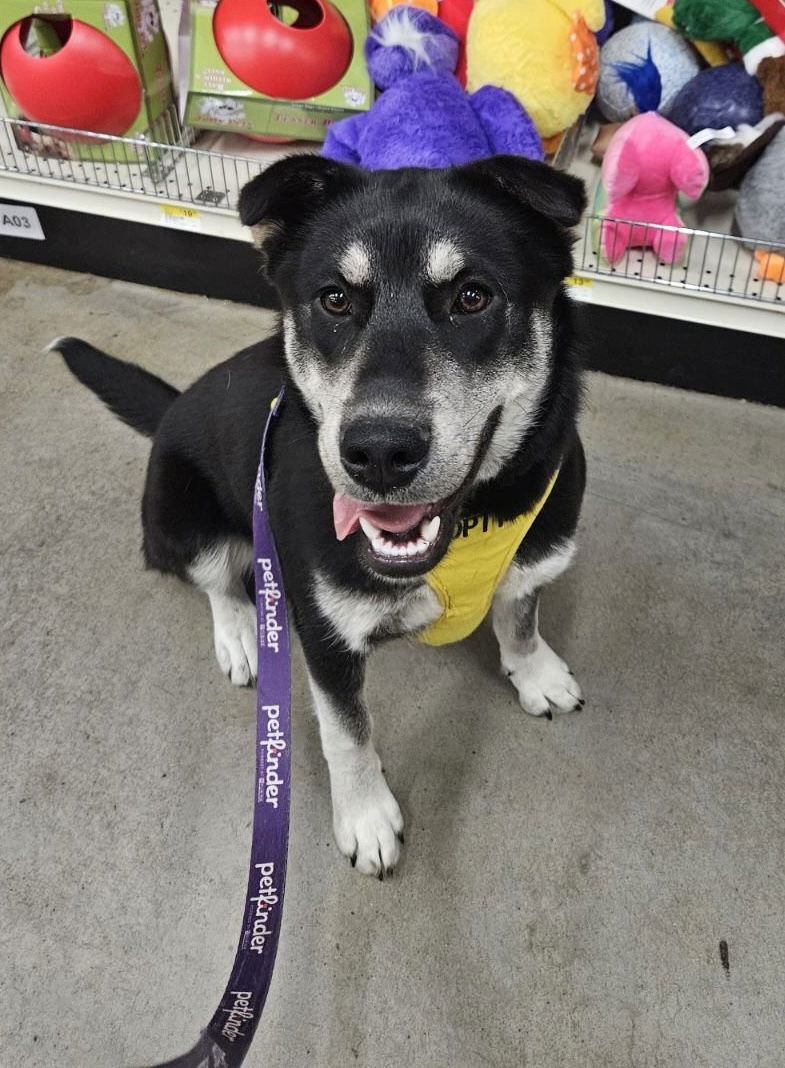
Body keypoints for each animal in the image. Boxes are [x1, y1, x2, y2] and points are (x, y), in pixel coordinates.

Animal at [52, 154, 585, 880]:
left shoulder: (532, 559)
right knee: (216, 579)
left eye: (472, 297)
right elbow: (348, 733)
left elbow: (521, 615)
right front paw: (365, 818)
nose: (380, 451)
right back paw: (242, 633)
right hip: (184, 512)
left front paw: (534, 672)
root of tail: (168, 412)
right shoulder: (326, 638)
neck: (468, 526)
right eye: (334, 300)